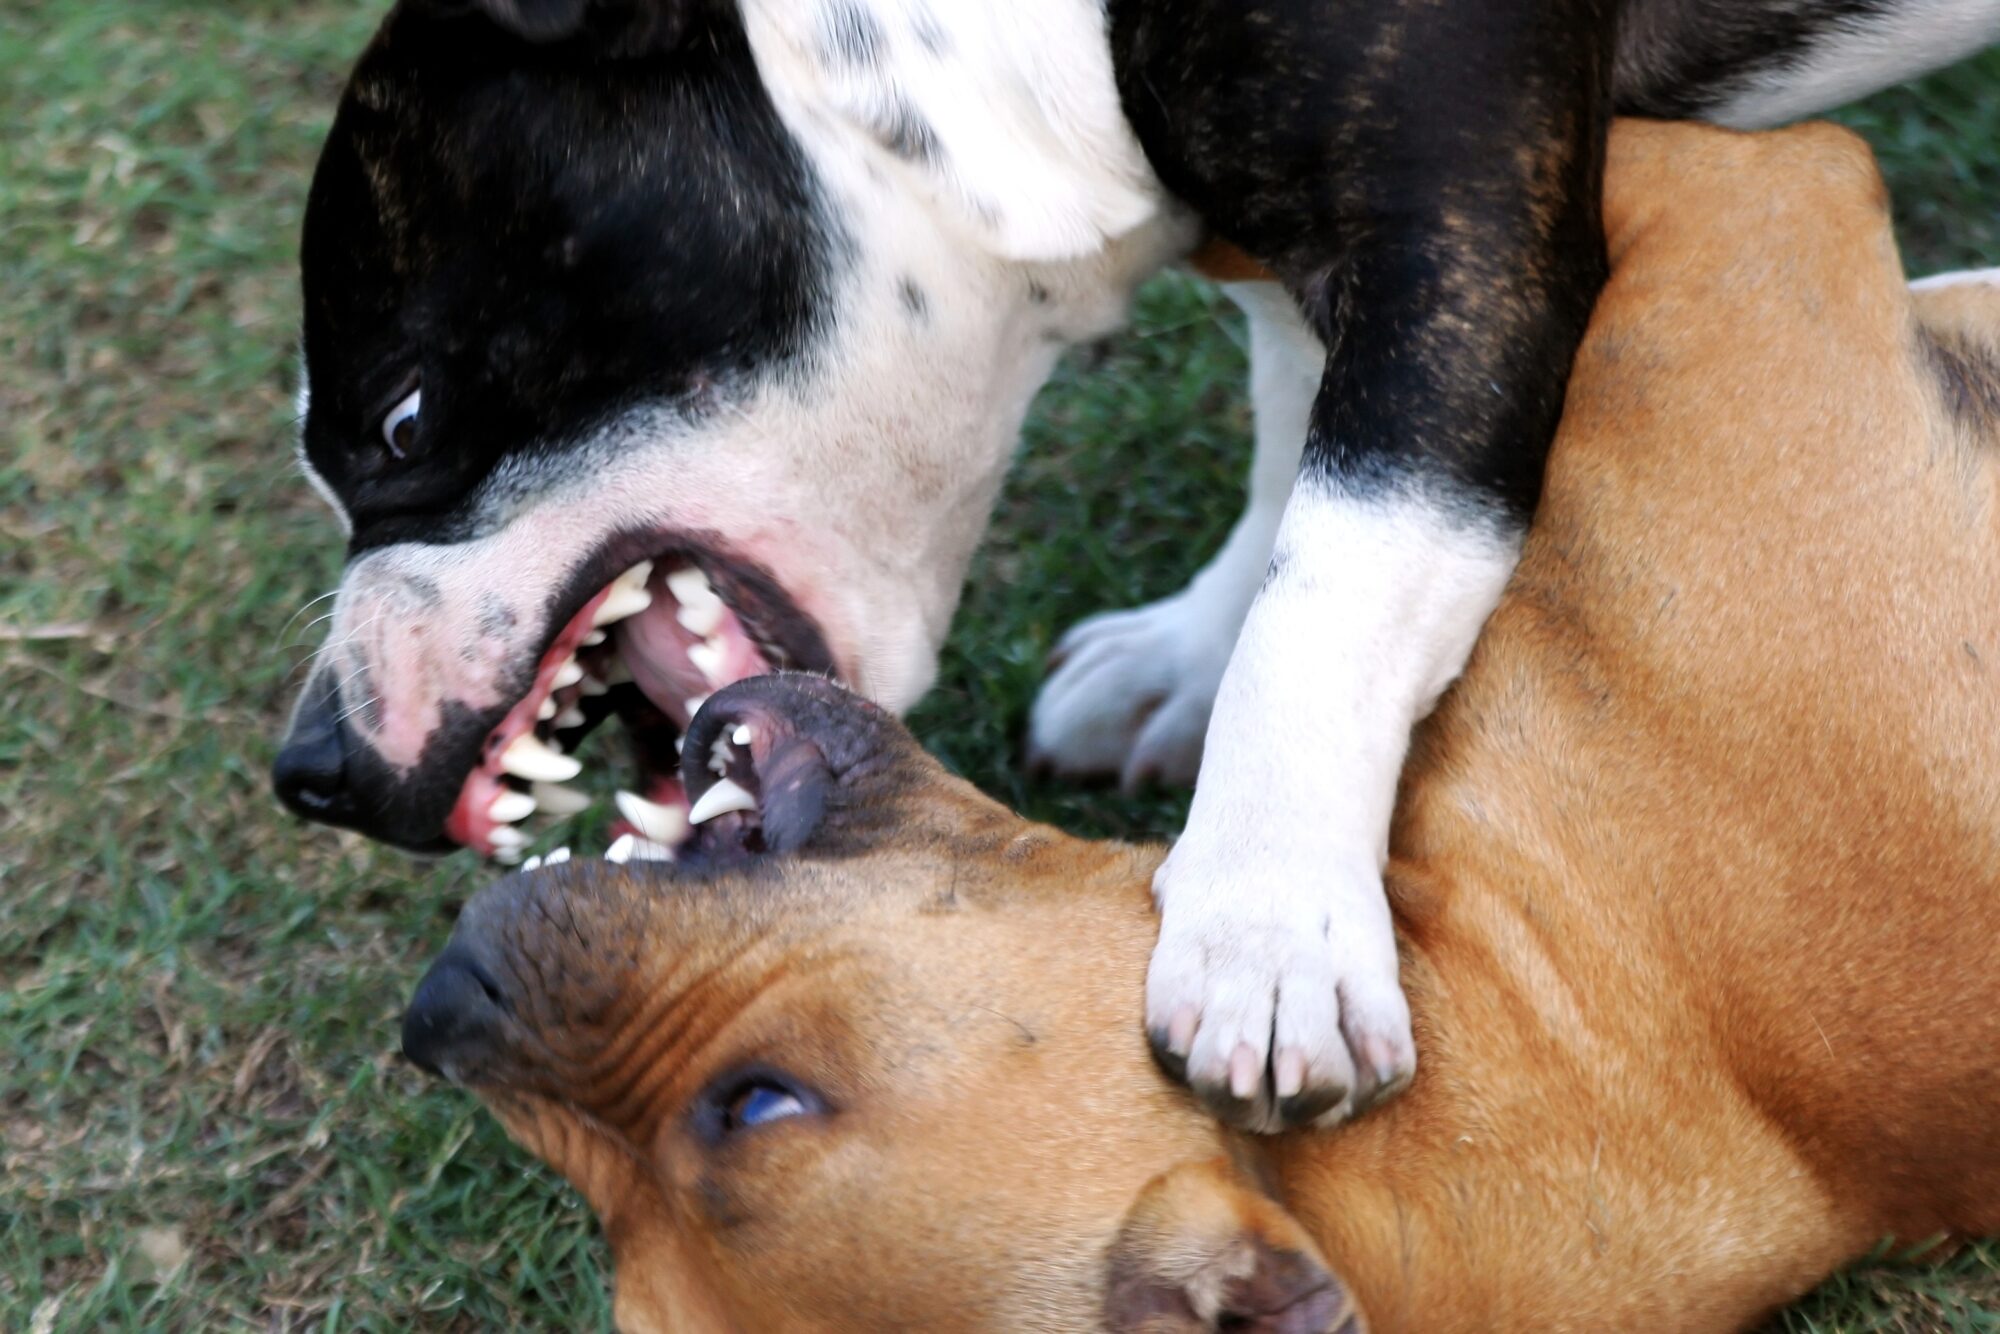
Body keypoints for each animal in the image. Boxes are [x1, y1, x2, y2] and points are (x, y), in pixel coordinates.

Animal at [278, 0, 2000, 1136]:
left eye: (404, 417)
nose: (306, 764)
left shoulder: (1459, 252)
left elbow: (1344, 566)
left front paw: (1265, 925)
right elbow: (1287, 444)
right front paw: (1186, 661)